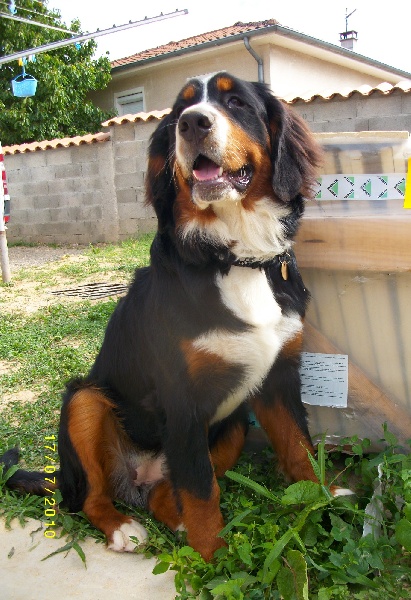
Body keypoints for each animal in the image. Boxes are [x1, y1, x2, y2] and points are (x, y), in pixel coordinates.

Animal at [3, 72, 346, 562]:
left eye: (236, 102)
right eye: (180, 111)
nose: (193, 123)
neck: (236, 257)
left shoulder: (279, 376)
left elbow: (299, 446)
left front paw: (326, 499)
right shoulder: (183, 399)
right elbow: (202, 492)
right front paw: (214, 557)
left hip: (234, 426)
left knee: (165, 494)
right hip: (85, 400)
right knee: (90, 496)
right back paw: (122, 528)